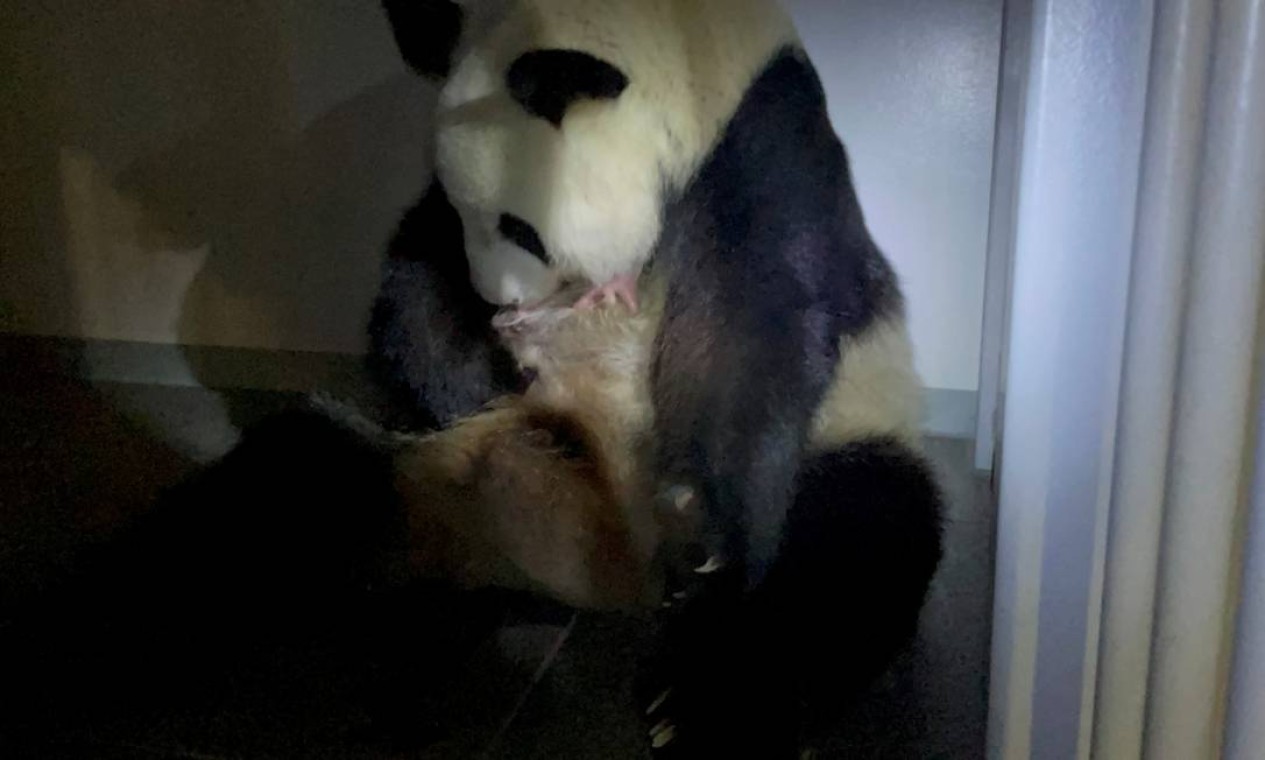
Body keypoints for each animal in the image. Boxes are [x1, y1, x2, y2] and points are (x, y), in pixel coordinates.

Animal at [369, 0, 944, 755]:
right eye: (469, 214)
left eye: (520, 228)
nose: (497, 299)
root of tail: (621, 577)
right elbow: (415, 270)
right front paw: (471, 377)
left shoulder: (763, 141)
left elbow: (754, 314)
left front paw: (698, 515)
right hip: (436, 492)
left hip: (851, 434)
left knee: (852, 545)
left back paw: (703, 702)